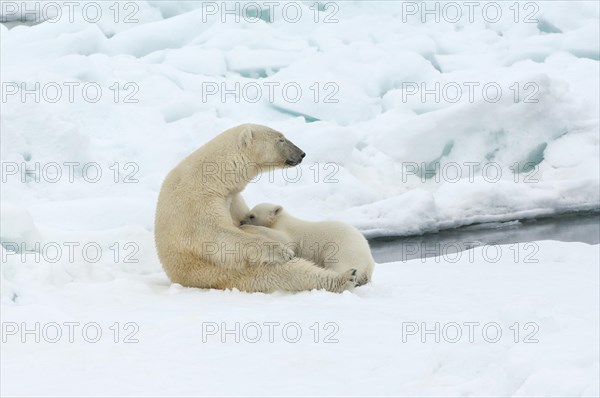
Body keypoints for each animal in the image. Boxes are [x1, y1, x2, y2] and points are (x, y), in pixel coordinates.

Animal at [154, 123, 356, 294]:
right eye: (281, 139)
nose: (302, 154)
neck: (213, 177)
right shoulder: (196, 202)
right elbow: (218, 236)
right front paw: (282, 251)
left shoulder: (232, 197)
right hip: (231, 273)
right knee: (288, 273)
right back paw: (344, 278)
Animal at [240, 205, 372, 286]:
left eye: (252, 215)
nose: (241, 221)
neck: (281, 219)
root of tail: (369, 262)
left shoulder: (289, 232)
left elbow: (282, 238)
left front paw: (247, 227)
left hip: (344, 251)